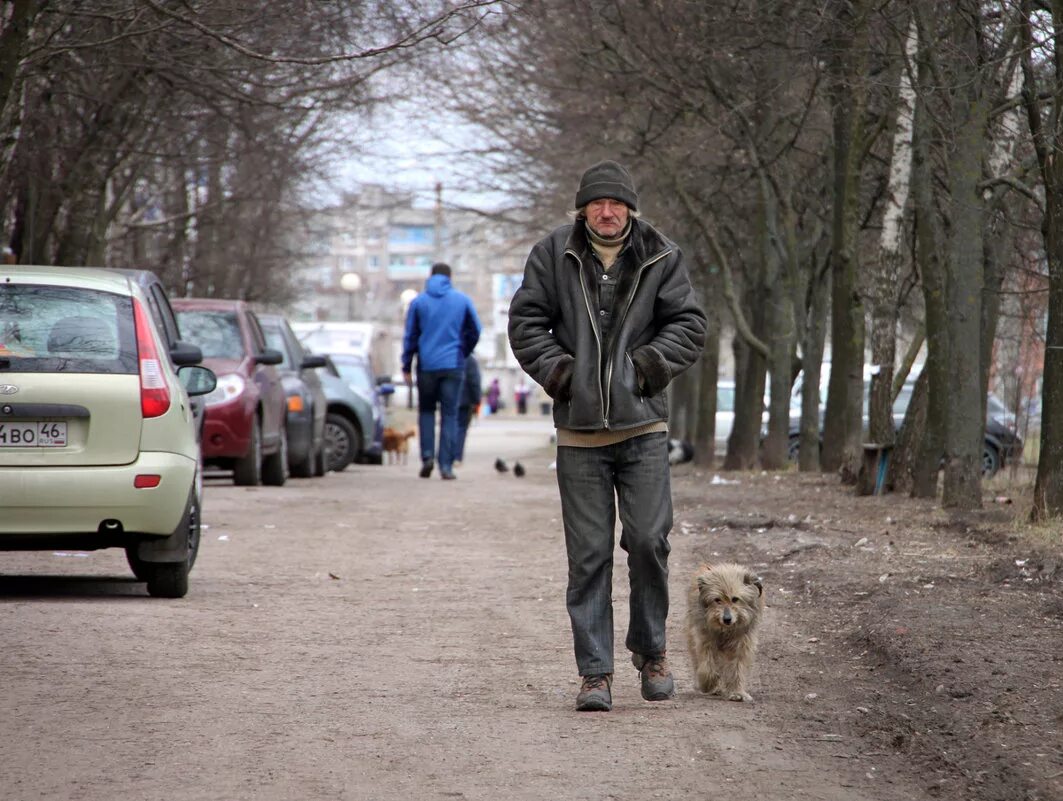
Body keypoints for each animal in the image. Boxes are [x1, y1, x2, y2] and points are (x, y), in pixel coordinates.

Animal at [688, 560, 765, 696]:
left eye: (735, 599)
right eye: (717, 599)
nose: (727, 619)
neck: (725, 631)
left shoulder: (742, 643)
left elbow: (737, 667)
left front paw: (737, 692)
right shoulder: (705, 639)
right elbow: (707, 665)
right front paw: (708, 684)